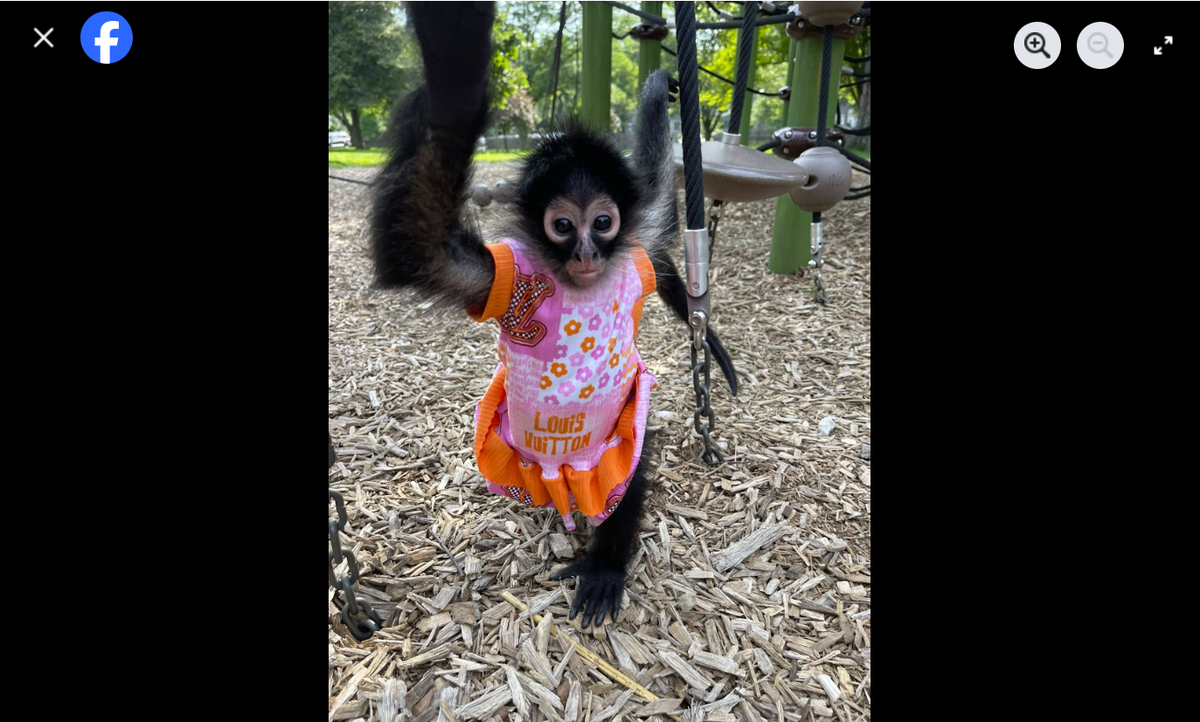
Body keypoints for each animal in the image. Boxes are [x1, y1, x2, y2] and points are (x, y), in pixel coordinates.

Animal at [370, 2, 737, 628]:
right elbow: (414, 247)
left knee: (625, 475)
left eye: (603, 222)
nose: (588, 253)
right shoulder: (500, 276)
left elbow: (658, 234)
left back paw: (605, 565)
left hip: (611, 446)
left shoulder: (631, 250)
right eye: (563, 226)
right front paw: (456, 62)